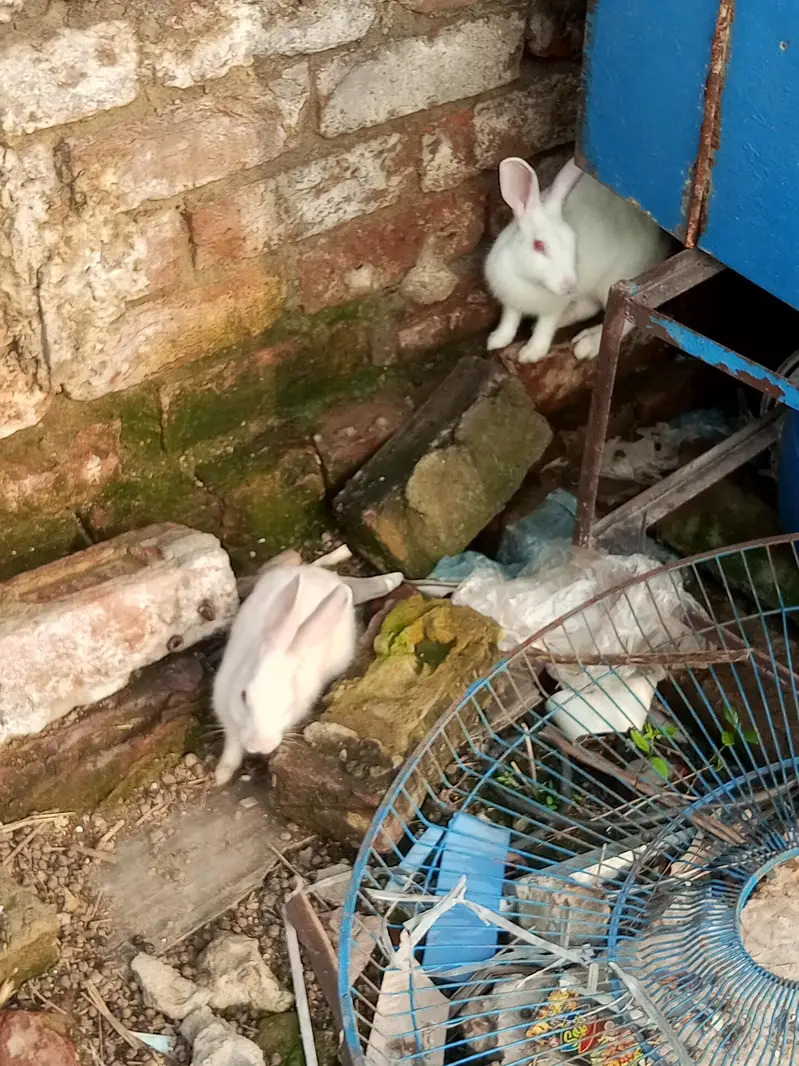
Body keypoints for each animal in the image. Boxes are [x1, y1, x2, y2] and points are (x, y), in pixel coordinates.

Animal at [212, 563, 357, 786]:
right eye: (243, 696)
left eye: (289, 703)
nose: (260, 745)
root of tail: (319, 571)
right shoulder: (227, 715)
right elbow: (232, 747)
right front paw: (221, 775)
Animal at [484, 156, 670, 364]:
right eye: (538, 245)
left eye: (574, 240)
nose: (570, 287)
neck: (529, 280)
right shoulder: (509, 302)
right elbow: (509, 320)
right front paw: (496, 340)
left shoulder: (552, 309)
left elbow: (544, 328)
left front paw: (530, 354)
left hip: (613, 282)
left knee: (624, 321)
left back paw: (588, 344)